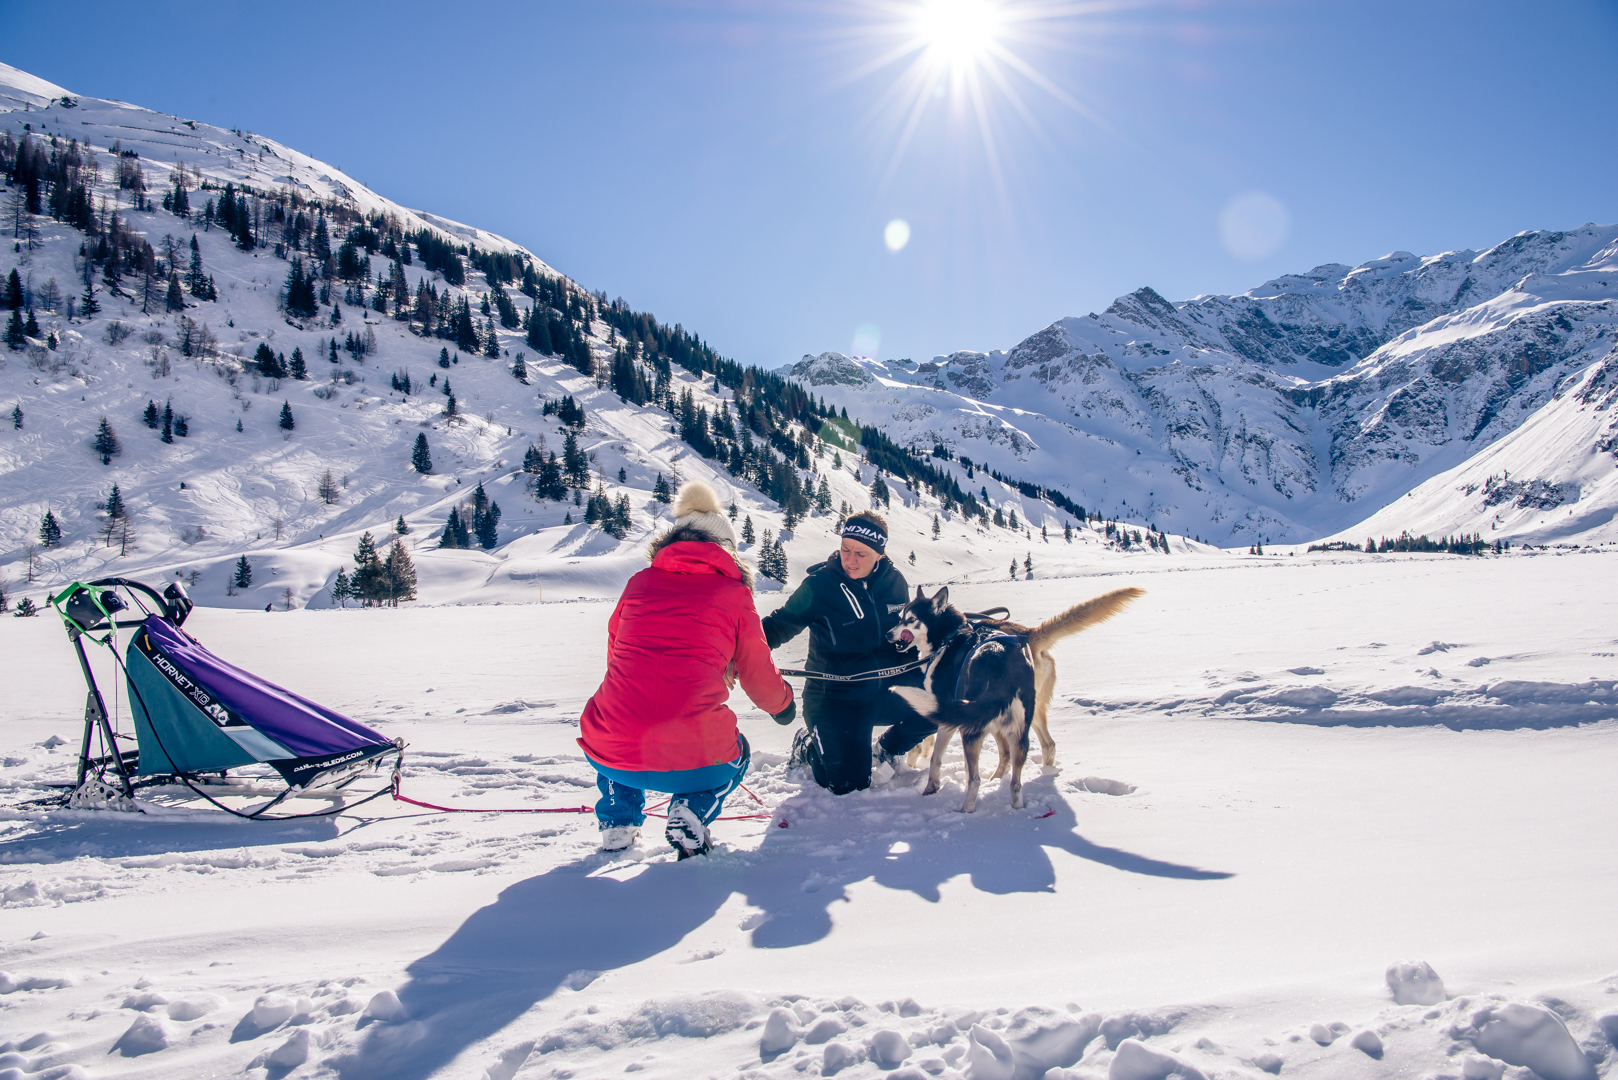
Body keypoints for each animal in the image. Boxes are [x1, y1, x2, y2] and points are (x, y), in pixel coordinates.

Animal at [893, 592, 1145, 809]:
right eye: (900, 616)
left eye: (910, 619)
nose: (888, 634)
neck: (950, 637)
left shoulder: (948, 716)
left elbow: (935, 757)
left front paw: (929, 784)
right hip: (1018, 721)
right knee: (1028, 763)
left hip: (980, 724)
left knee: (979, 777)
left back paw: (967, 808)